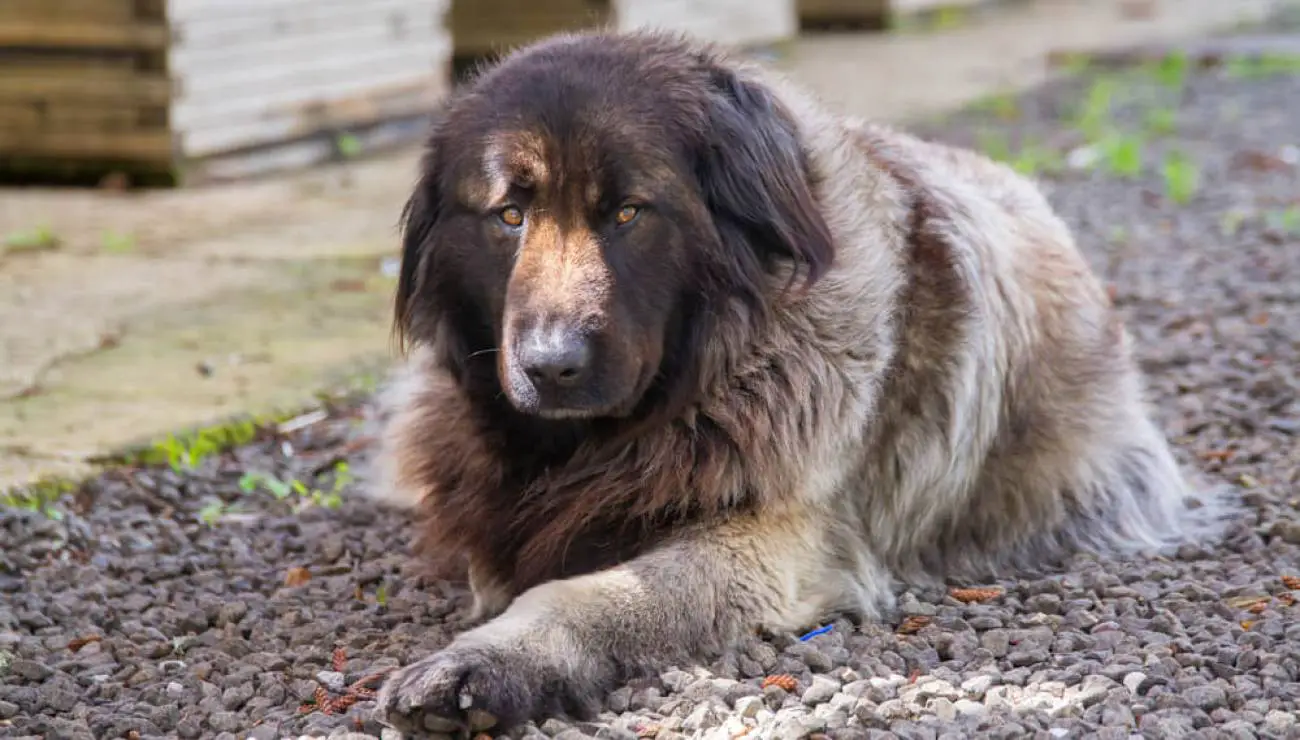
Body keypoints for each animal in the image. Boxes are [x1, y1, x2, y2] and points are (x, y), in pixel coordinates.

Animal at [369, 28, 1227, 733]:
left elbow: (594, 595)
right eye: (509, 216)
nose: (551, 365)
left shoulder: (773, 542)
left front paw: (492, 661)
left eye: (629, 214)